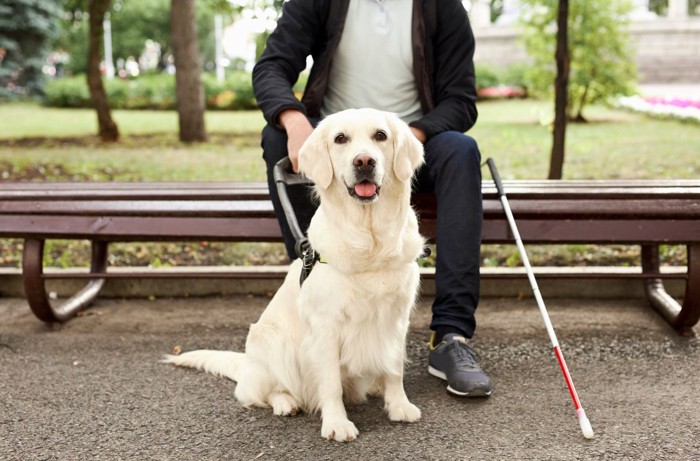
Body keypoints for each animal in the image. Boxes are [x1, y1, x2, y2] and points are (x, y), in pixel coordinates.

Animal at [163, 108, 424, 442]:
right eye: (340, 139)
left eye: (380, 135)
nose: (364, 161)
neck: (369, 239)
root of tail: (247, 366)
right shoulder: (326, 327)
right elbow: (331, 383)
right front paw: (337, 423)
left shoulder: (396, 318)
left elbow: (394, 368)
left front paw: (399, 405)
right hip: (273, 343)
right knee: (261, 392)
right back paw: (285, 403)